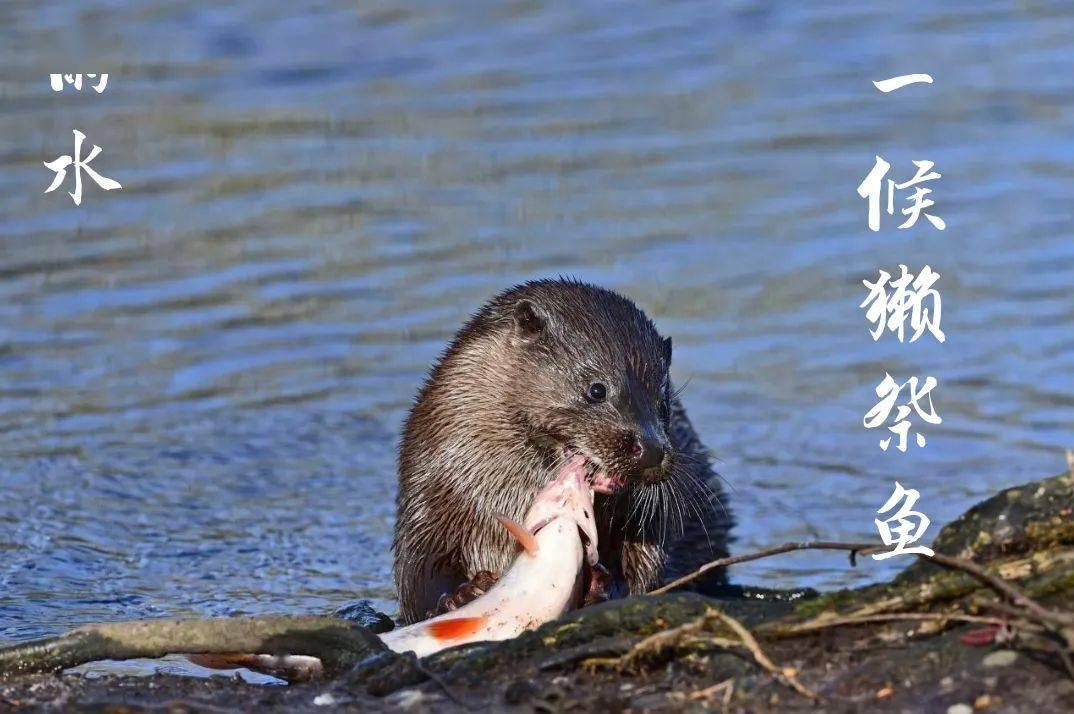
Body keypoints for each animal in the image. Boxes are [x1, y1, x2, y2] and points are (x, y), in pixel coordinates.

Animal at [395, 274, 730, 622]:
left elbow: (647, 566)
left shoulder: (651, 520)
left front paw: (604, 587)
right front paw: (462, 594)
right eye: (596, 390)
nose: (651, 449)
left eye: (663, 402)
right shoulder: (430, 492)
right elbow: (416, 573)